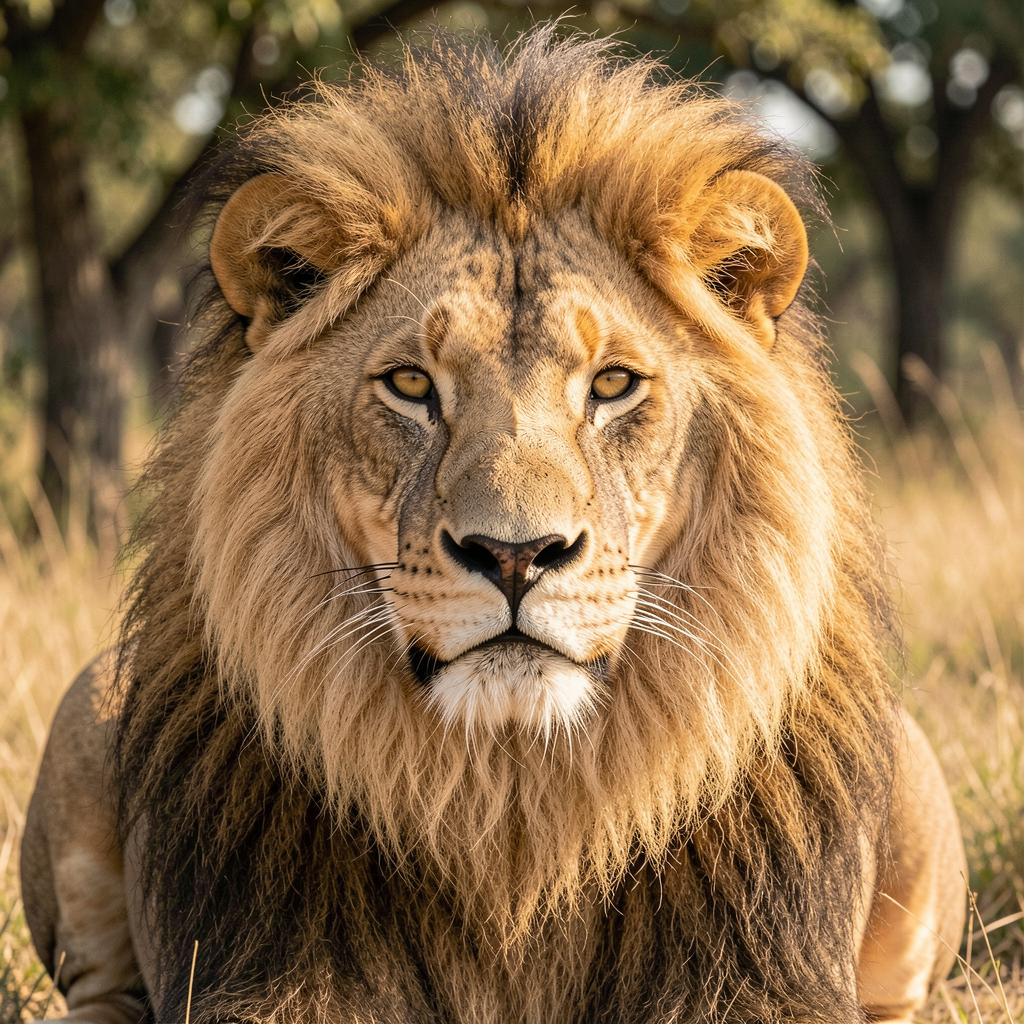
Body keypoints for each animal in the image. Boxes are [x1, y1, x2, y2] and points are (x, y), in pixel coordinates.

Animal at [21, 28, 965, 1024]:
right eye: (410, 385)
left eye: (613, 383)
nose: (516, 555)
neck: (512, 803)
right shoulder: (264, 968)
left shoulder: (759, 973)